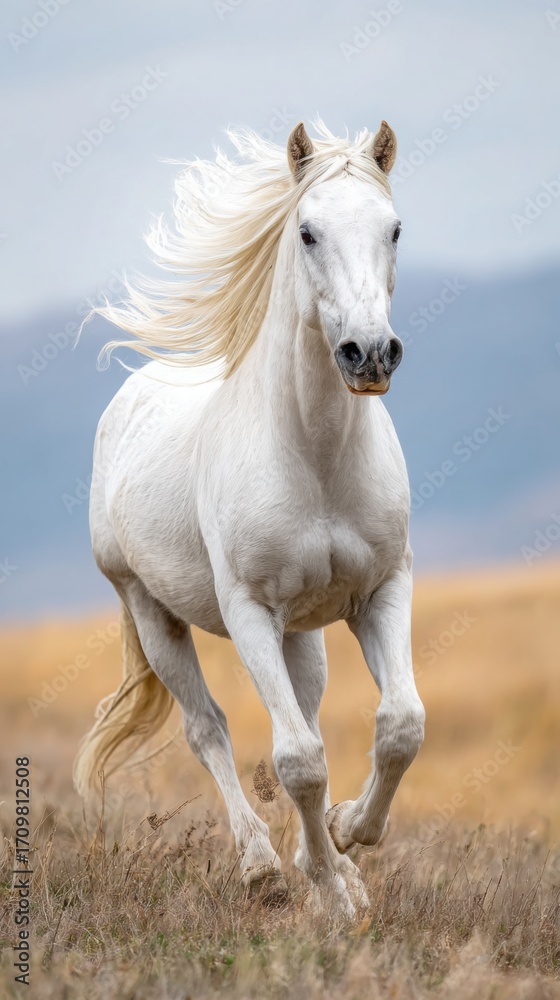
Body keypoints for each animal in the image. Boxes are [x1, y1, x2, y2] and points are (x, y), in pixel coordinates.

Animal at [74, 119, 425, 919]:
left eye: (393, 228)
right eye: (307, 232)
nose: (369, 354)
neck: (316, 457)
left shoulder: (381, 591)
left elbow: (399, 727)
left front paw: (349, 840)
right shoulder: (249, 613)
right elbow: (296, 760)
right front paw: (329, 893)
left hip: (305, 633)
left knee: (310, 713)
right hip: (152, 613)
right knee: (208, 729)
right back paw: (262, 867)